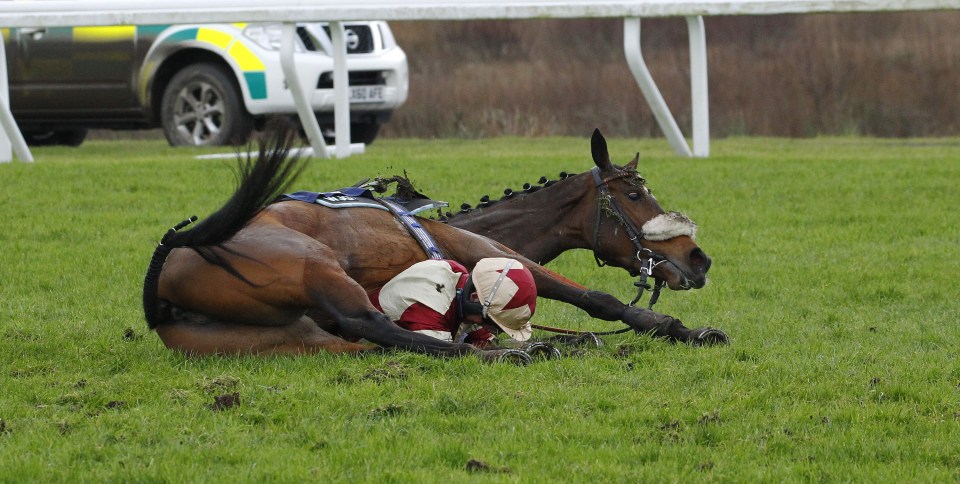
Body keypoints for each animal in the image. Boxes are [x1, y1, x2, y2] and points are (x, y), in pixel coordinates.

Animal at [144, 125, 728, 364]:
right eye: (633, 194)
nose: (696, 257)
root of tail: (164, 277)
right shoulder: (479, 249)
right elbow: (594, 299)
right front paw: (681, 330)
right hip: (318, 269)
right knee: (374, 325)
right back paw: (525, 353)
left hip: (293, 337)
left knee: (384, 343)